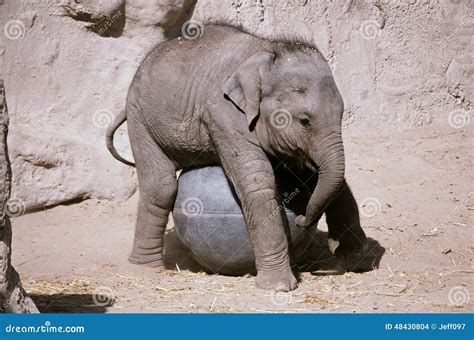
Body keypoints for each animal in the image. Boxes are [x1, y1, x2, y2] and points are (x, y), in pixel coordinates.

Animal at [107, 23, 366, 290]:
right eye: (304, 121)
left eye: (342, 114)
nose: (301, 219)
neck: (266, 51)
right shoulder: (225, 115)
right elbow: (257, 182)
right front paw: (279, 286)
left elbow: (313, 171)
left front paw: (353, 255)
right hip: (140, 118)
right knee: (161, 186)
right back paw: (146, 268)